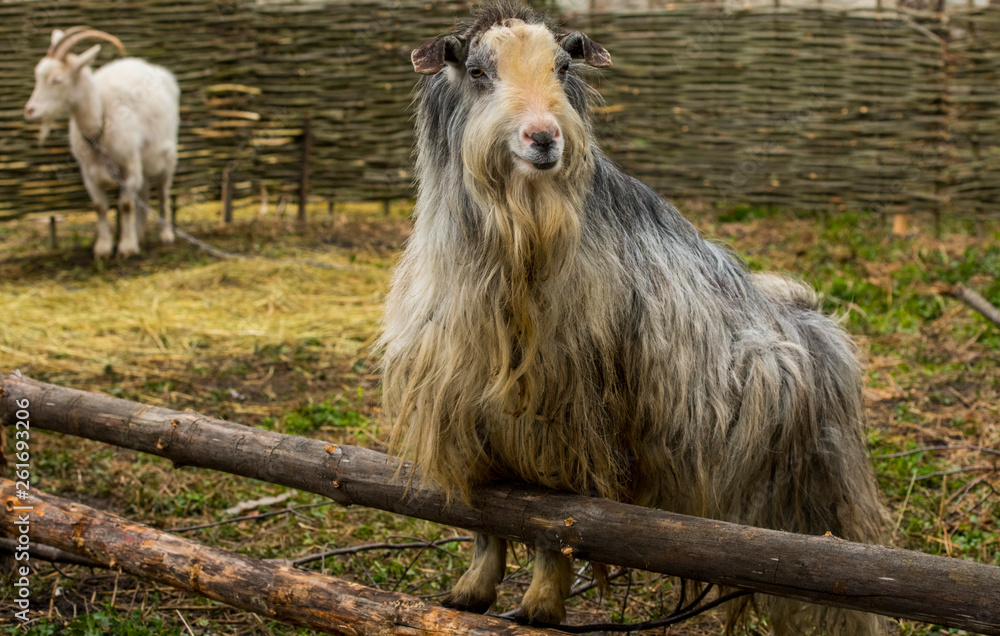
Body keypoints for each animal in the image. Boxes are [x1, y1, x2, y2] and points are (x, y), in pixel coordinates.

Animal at [24, 28, 179, 258]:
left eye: (57, 80)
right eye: (37, 76)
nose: (29, 110)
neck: (100, 127)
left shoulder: (129, 165)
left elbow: (125, 205)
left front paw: (126, 247)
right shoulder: (88, 172)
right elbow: (99, 207)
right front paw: (104, 248)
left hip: (167, 157)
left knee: (162, 192)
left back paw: (165, 234)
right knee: (143, 193)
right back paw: (141, 232)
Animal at [380, 2, 888, 633]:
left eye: (562, 66)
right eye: (477, 71)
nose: (543, 138)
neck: (520, 253)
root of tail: (811, 319)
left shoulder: (569, 421)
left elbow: (552, 524)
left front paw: (540, 605)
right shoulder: (470, 417)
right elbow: (485, 525)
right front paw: (469, 593)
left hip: (820, 498)